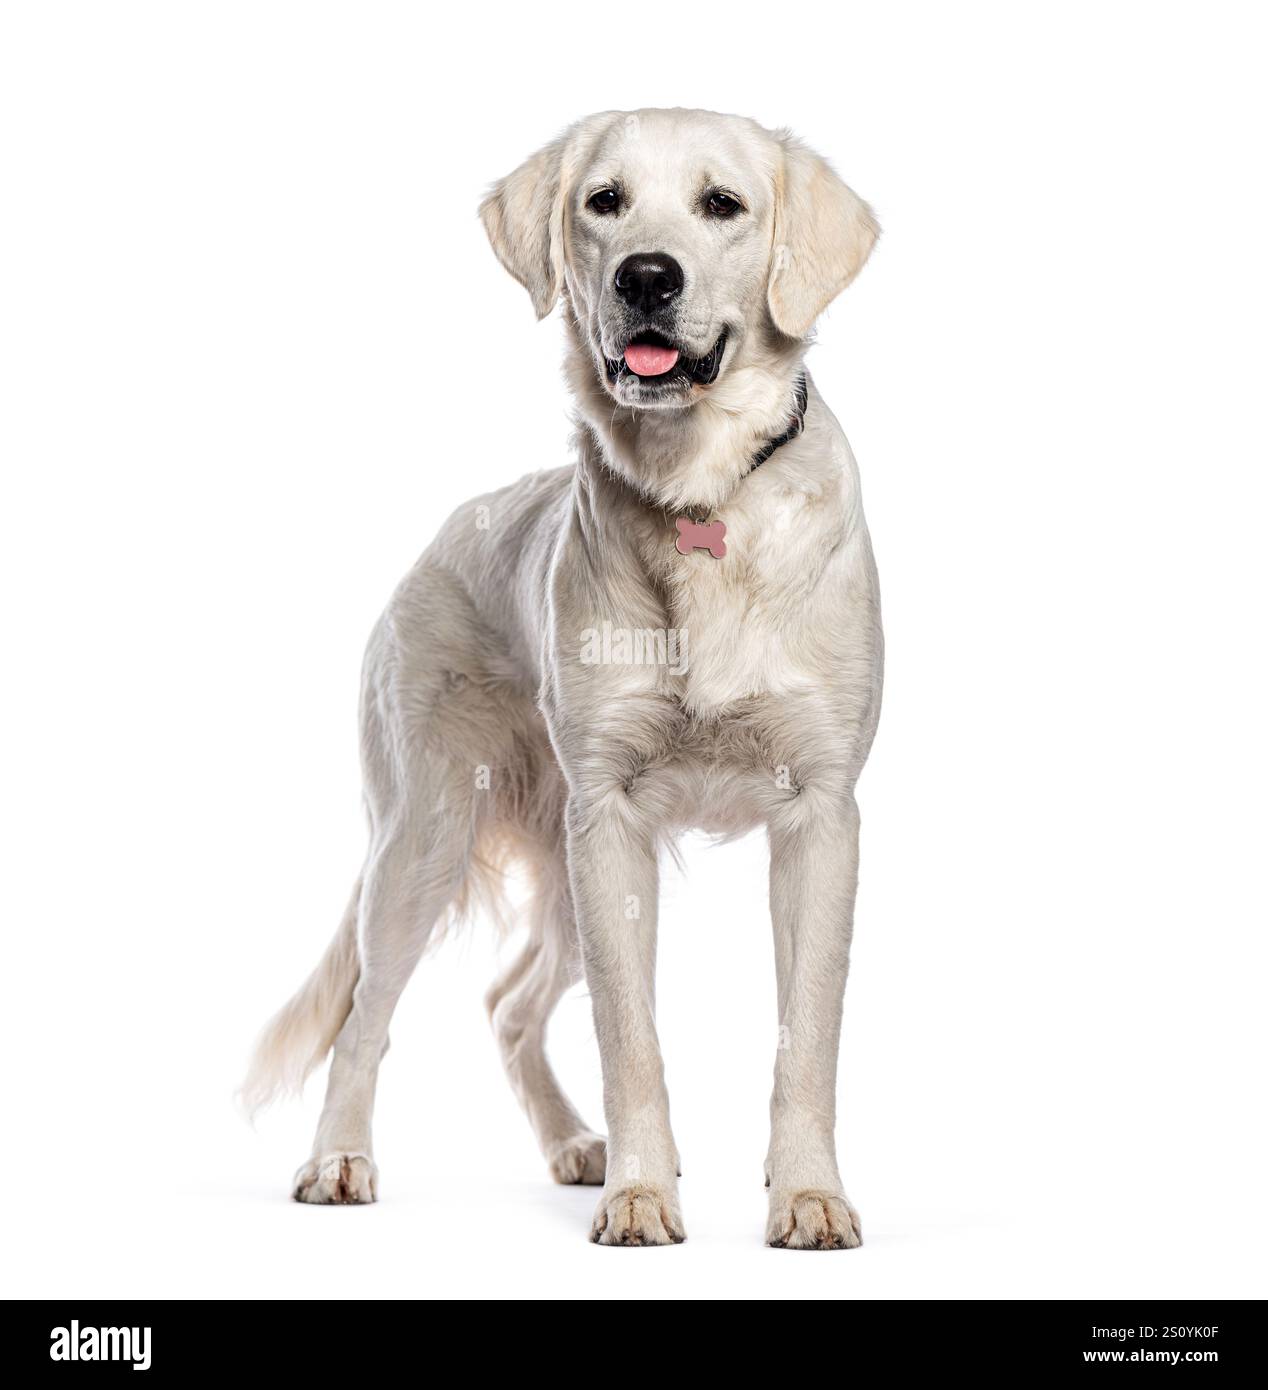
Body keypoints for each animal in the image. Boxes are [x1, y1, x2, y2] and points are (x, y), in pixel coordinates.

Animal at [244, 102, 884, 1245]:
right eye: (604, 202)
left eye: (724, 203)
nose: (647, 277)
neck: (699, 495)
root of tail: (438, 537)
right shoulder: (611, 821)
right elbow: (631, 1037)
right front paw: (641, 1194)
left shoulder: (820, 816)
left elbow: (806, 1034)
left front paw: (807, 1193)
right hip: (426, 836)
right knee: (367, 1016)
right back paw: (341, 1158)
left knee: (507, 1002)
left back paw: (572, 1144)